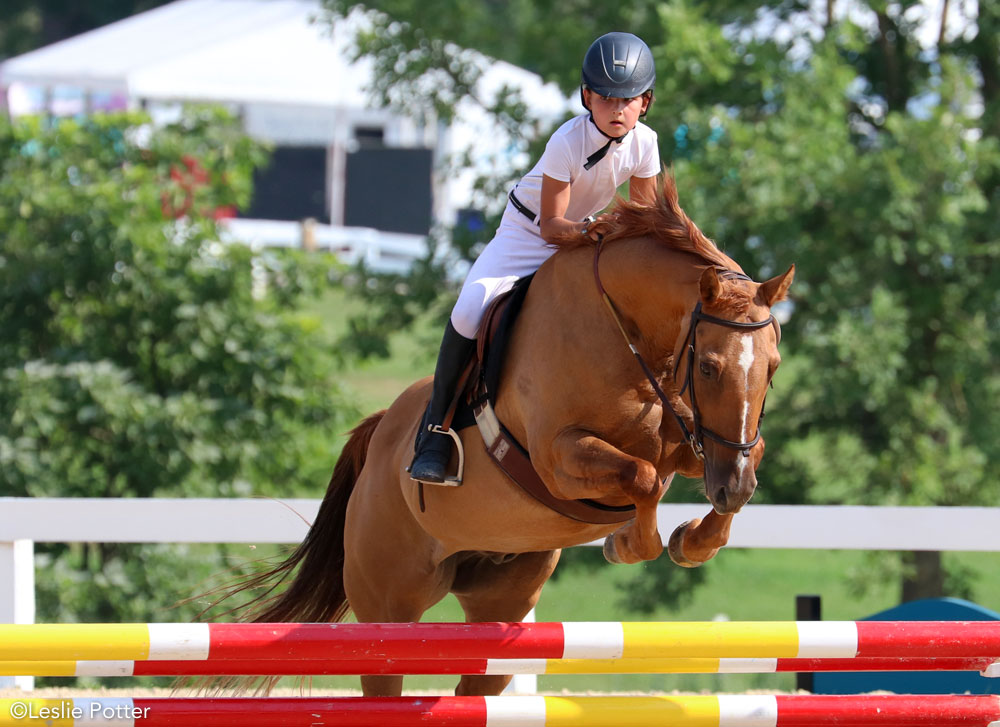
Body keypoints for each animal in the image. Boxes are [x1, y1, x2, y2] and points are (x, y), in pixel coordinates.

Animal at [225, 176, 788, 700]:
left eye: (773, 366)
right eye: (709, 367)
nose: (732, 487)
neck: (626, 336)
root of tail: (379, 433)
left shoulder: (698, 444)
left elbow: (734, 456)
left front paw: (694, 540)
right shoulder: (559, 459)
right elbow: (643, 478)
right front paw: (627, 544)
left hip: (501, 609)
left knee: (477, 685)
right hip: (389, 604)